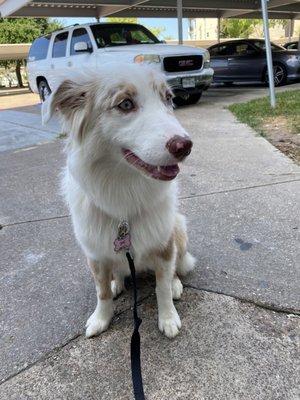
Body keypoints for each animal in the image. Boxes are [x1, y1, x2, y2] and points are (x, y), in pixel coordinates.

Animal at [43, 64, 196, 340]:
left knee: (175, 269)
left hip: (178, 226)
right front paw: (101, 319)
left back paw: (176, 284)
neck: (125, 189)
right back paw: (118, 283)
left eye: (168, 98)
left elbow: (162, 286)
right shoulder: (94, 253)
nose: (185, 146)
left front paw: (168, 318)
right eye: (125, 104)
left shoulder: (164, 243)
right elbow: (101, 291)